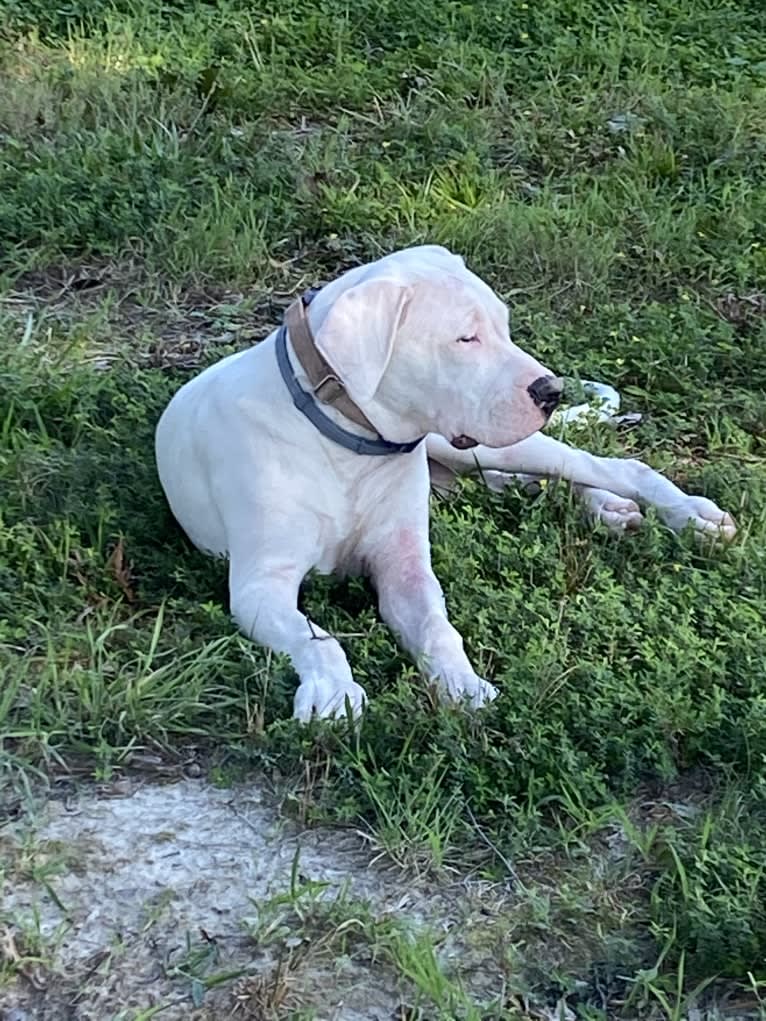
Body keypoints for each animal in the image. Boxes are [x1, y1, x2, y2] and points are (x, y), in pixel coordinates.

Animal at [156, 244, 739, 722]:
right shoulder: (260, 586)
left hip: (482, 443)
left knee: (604, 466)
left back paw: (684, 514)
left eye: (504, 326)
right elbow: (317, 638)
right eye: (466, 337)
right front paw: (333, 691)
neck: (346, 445)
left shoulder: (405, 567)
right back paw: (604, 509)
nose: (551, 390)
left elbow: (439, 627)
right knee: (529, 480)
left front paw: (464, 685)